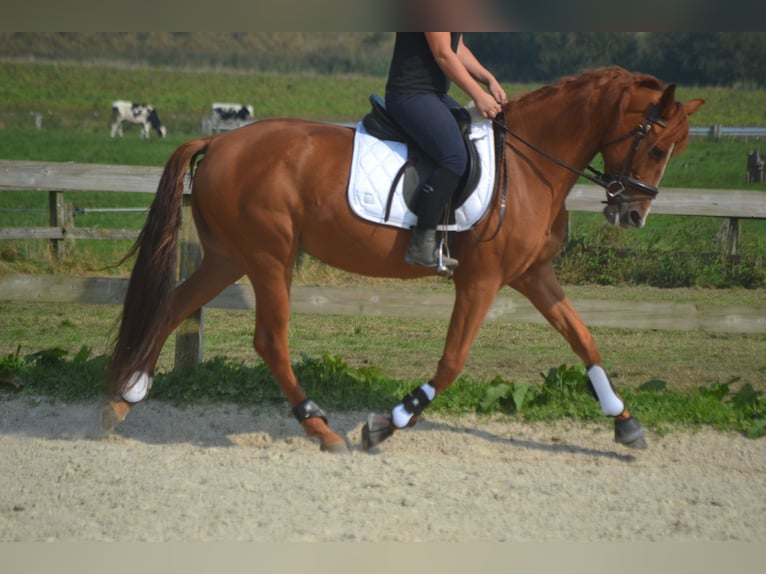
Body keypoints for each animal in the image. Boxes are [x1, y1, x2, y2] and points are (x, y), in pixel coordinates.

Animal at [103, 67, 708, 454]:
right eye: (657, 147)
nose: (633, 216)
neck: (530, 165)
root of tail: (219, 143)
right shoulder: (482, 280)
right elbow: (453, 362)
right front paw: (385, 425)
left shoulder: (534, 275)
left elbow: (584, 339)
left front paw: (625, 422)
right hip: (268, 256)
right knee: (268, 340)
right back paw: (321, 429)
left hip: (229, 256)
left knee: (172, 306)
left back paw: (123, 399)